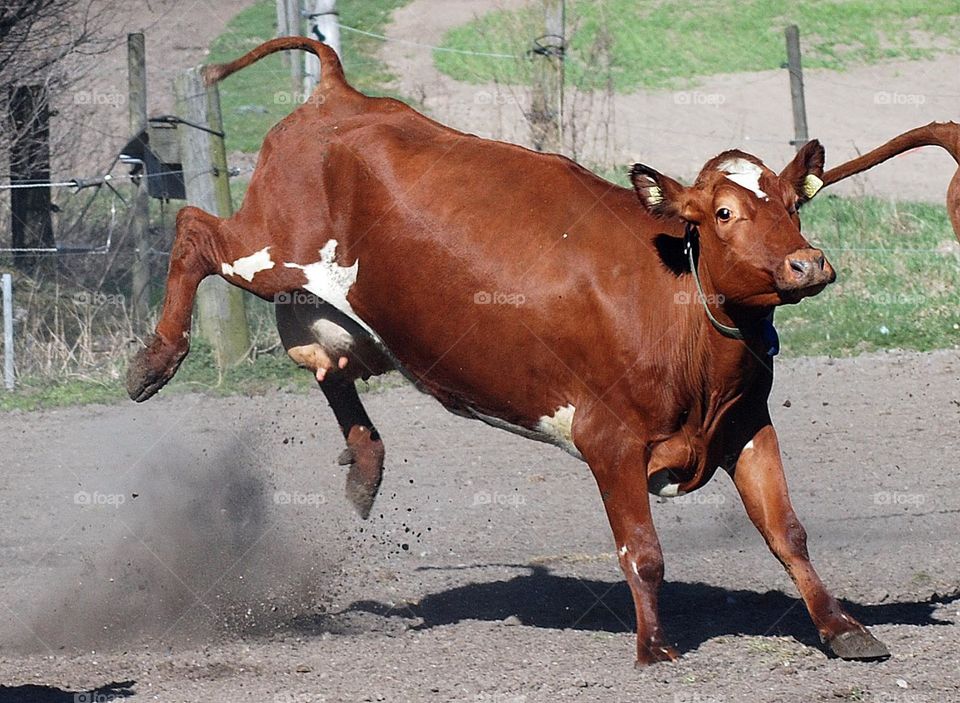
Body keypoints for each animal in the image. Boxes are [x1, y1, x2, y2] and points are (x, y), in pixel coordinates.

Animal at [125, 38, 900, 664]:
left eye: (794, 205)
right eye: (724, 213)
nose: (807, 264)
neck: (677, 305)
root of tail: (337, 95)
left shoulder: (744, 425)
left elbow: (787, 532)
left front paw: (842, 627)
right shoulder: (608, 439)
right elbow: (642, 551)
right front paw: (654, 646)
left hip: (344, 309)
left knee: (329, 365)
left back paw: (367, 463)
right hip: (268, 248)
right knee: (194, 231)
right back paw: (155, 359)